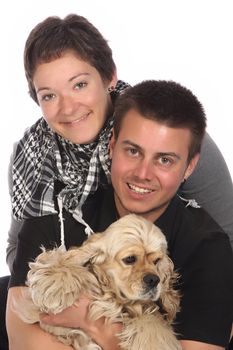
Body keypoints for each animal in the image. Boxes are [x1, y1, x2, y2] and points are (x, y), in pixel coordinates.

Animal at [15, 213, 182, 350]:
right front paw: (57, 285)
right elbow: (59, 260)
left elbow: (152, 321)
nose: (154, 279)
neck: (114, 298)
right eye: (130, 259)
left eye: (157, 261)